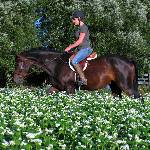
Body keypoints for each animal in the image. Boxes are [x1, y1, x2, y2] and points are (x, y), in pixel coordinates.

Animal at [13, 47, 142, 101]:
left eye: (19, 63)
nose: (15, 80)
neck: (56, 63)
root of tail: (129, 60)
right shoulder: (56, 87)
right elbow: (47, 94)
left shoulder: (70, 88)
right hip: (115, 87)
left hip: (126, 86)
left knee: (138, 98)